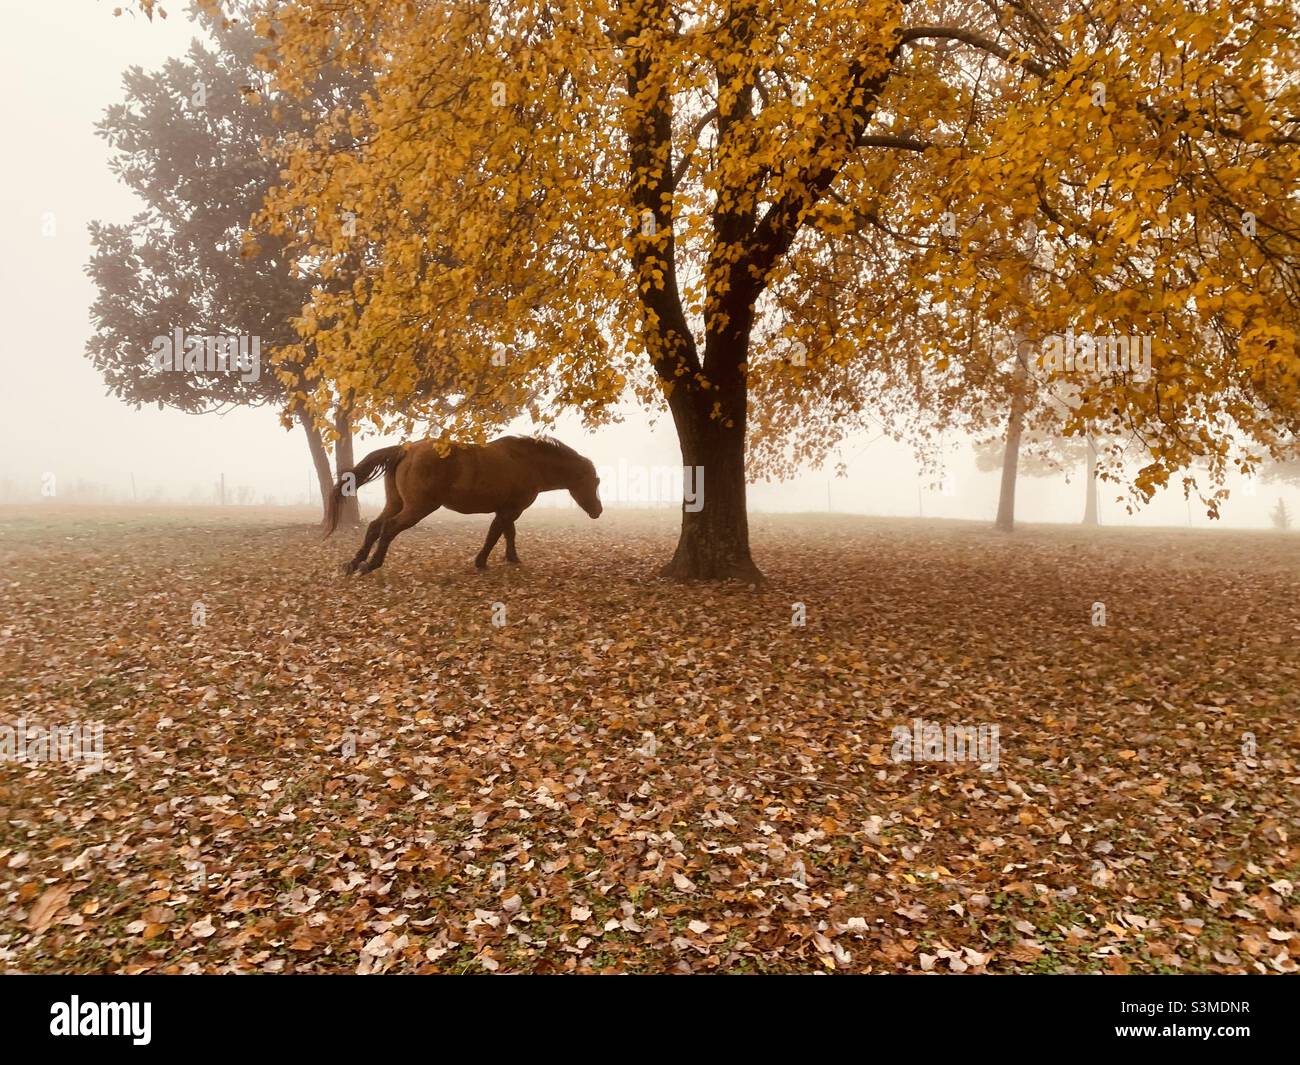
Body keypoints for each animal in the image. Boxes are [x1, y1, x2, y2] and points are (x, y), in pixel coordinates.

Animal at [323, 435, 603, 574]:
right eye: (595, 482)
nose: (598, 511)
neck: (527, 462)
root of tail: (407, 450)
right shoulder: (510, 510)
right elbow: (495, 535)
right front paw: (481, 561)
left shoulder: (506, 510)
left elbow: (508, 534)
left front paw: (512, 558)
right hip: (416, 508)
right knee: (389, 528)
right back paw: (371, 565)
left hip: (396, 503)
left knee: (374, 526)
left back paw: (355, 562)